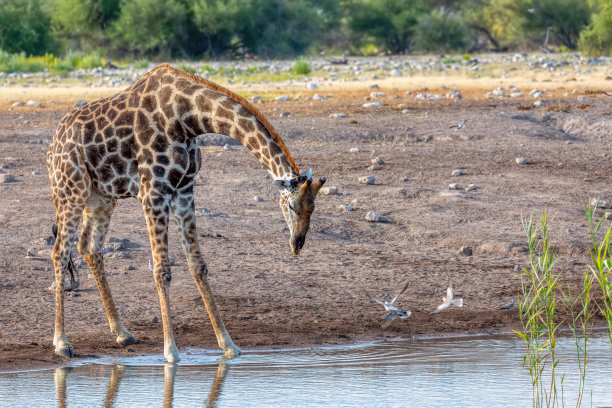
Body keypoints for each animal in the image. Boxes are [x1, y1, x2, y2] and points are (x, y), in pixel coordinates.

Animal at [47, 62, 328, 362]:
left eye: (313, 209)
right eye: (290, 206)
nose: (297, 244)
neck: (186, 117)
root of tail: (52, 147)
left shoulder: (184, 189)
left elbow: (198, 266)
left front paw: (229, 345)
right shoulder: (153, 192)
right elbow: (162, 270)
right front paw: (171, 352)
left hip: (101, 196)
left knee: (89, 247)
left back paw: (122, 332)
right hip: (70, 190)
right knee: (60, 251)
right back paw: (61, 342)